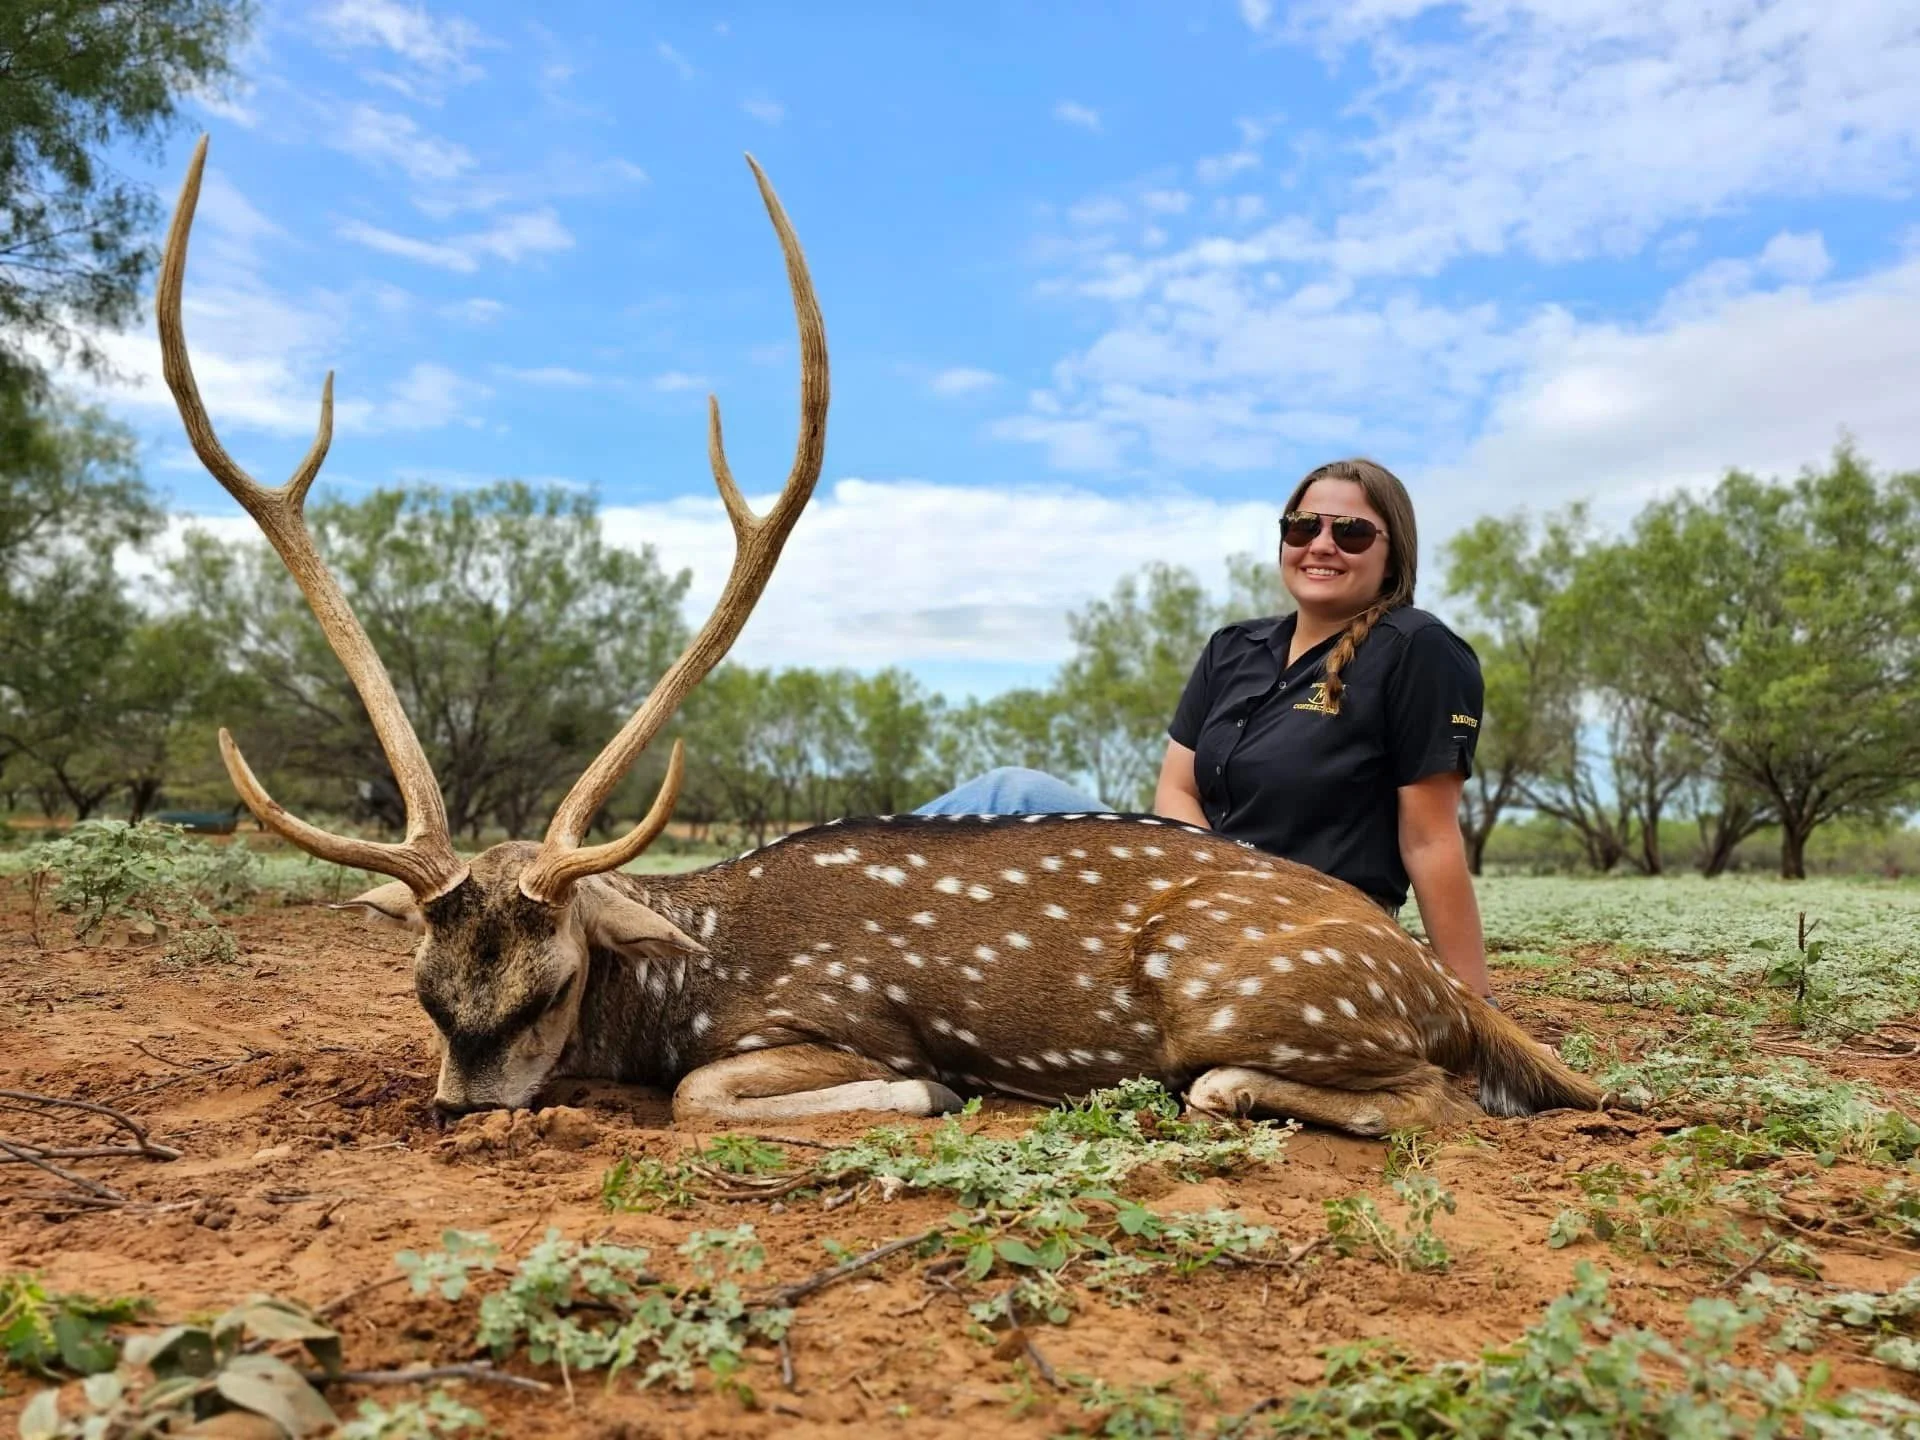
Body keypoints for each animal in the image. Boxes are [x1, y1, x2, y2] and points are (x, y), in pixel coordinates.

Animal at [157, 136, 1607, 1140]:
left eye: (548, 983)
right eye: (425, 990)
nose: (464, 1110)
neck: (686, 978)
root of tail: (1450, 986)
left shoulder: (833, 1017)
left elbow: (708, 1097)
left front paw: (935, 1093)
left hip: (1272, 996)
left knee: (1412, 1096)